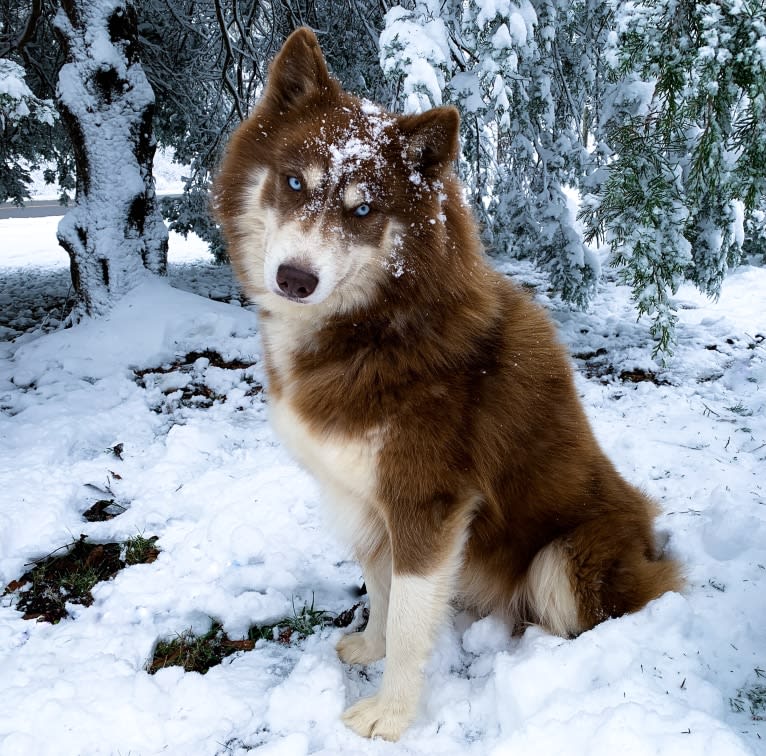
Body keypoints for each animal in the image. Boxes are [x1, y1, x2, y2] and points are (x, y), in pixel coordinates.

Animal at [212, 28, 684, 740]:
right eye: (293, 182)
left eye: (364, 209)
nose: (295, 279)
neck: (378, 330)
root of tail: (650, 541)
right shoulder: (364, 497)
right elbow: (381, 591)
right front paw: (370, 646)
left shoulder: (427, 502)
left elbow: (412, 622)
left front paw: (391, 714)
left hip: (562, 561)